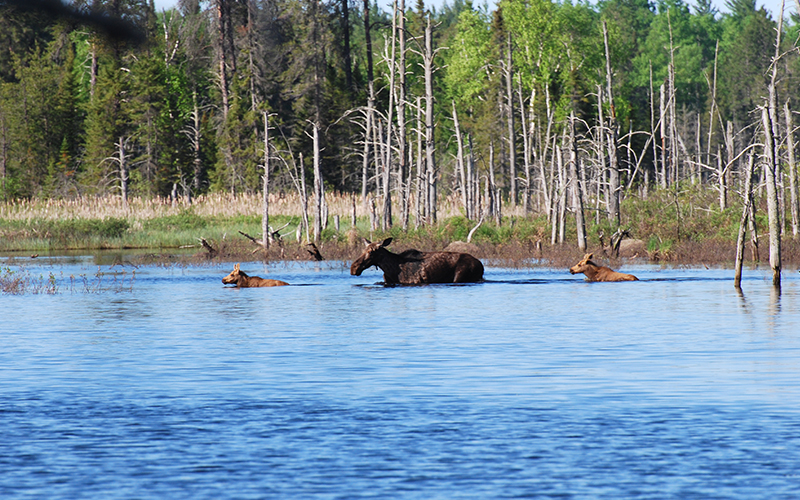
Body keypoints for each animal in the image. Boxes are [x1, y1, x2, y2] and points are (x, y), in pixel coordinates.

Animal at [350, 238, 484, 284]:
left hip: (460, 276)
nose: (353, 268)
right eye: (363, 249)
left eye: (372, 252)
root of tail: (481, 265)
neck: (389, 270)